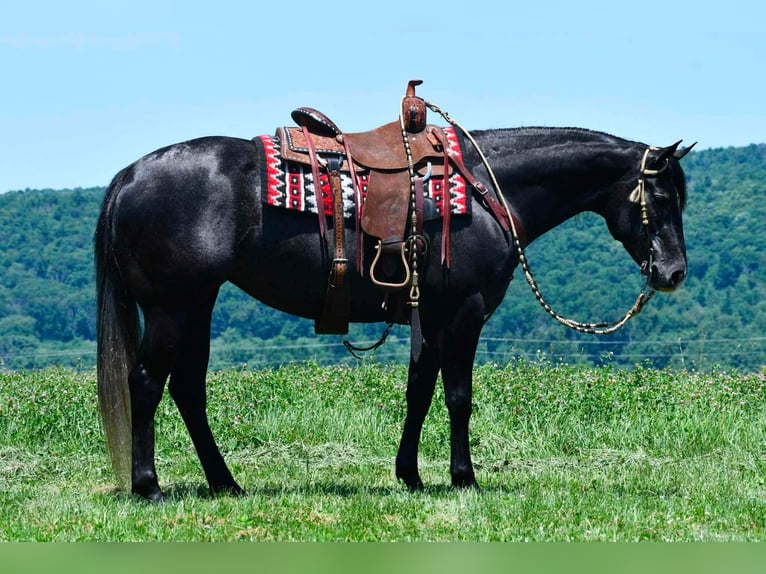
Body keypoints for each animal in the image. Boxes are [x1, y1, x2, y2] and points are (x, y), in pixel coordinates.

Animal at [95, 120, 692, 501]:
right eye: (661, 199)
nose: (673, 274)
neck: (485, 188)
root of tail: (129, 175)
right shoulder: (463, 313)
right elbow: (458, 396)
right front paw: (464, 478)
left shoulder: (429, 318)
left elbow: (419, 392)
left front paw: (411, 475)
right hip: (172, 307)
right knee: (146, 383)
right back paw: (149, 485)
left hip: (196, 305)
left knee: (187, 390)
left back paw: (226, 483)